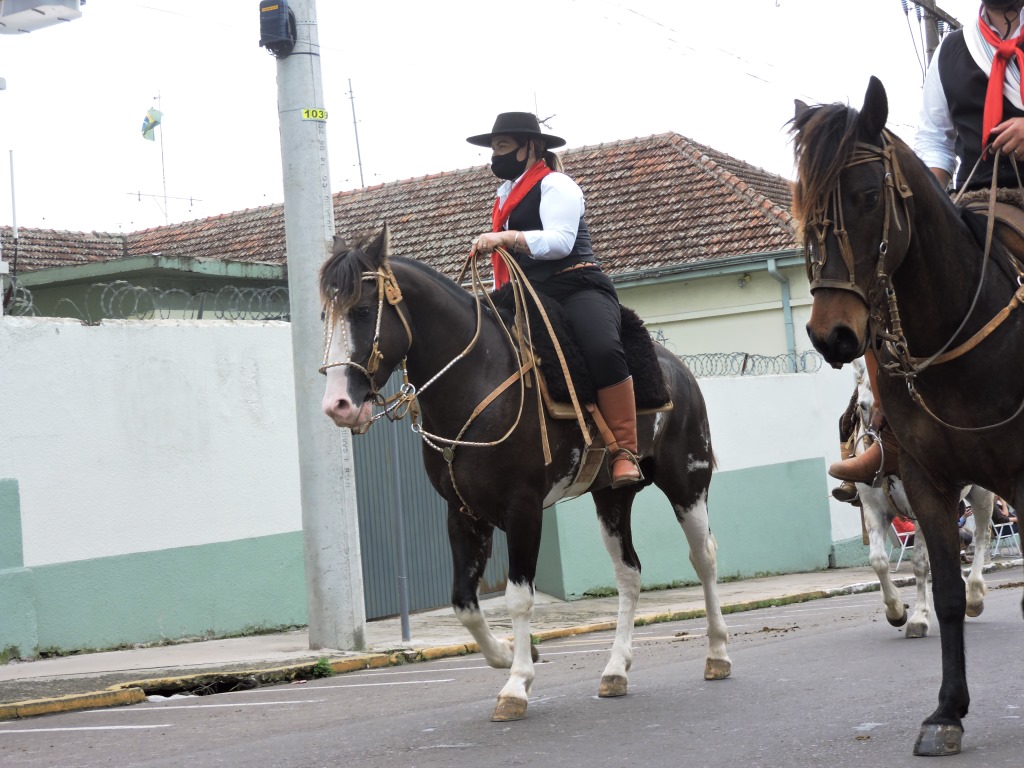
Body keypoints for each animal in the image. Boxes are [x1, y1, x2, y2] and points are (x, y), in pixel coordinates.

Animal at [319, 225, 729, 724]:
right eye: (325, 312)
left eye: (361, 310)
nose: (338, 405)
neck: (476, 379)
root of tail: (681, 370)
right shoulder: (463, 513)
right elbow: (464, 602)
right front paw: (511, 653)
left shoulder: (524, 510)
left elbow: (518, 597)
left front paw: (516, 685)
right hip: (612, 497)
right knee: (628, 573)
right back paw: (615, 670)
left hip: (688, 484)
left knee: (704, 558)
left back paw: (717, 654)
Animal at [794, 76, 1019, 757]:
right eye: (802, 204)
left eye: (868, 196)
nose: (833, 335)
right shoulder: (916, 483)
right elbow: (924, 579)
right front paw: (946, 710)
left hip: (987, 488)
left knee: (984, 534)